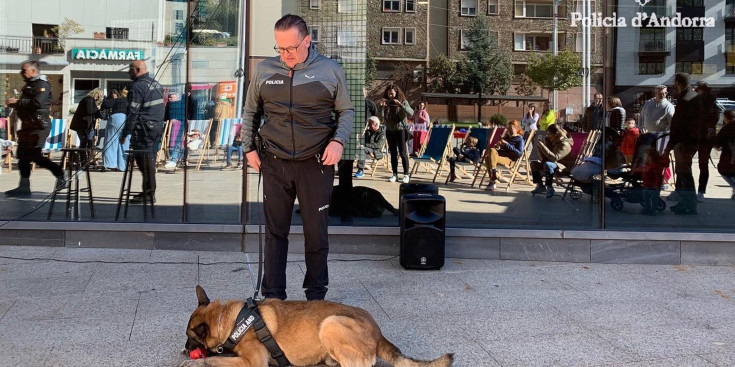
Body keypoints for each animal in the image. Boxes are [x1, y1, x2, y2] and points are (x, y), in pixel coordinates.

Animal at [181, 288, 454, 367]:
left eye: (190, 338)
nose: (185, 349)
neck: (231, 320)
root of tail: (379, 335)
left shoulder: (254, 362)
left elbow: (215, 360)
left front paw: (197, 362)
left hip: (330, 324)